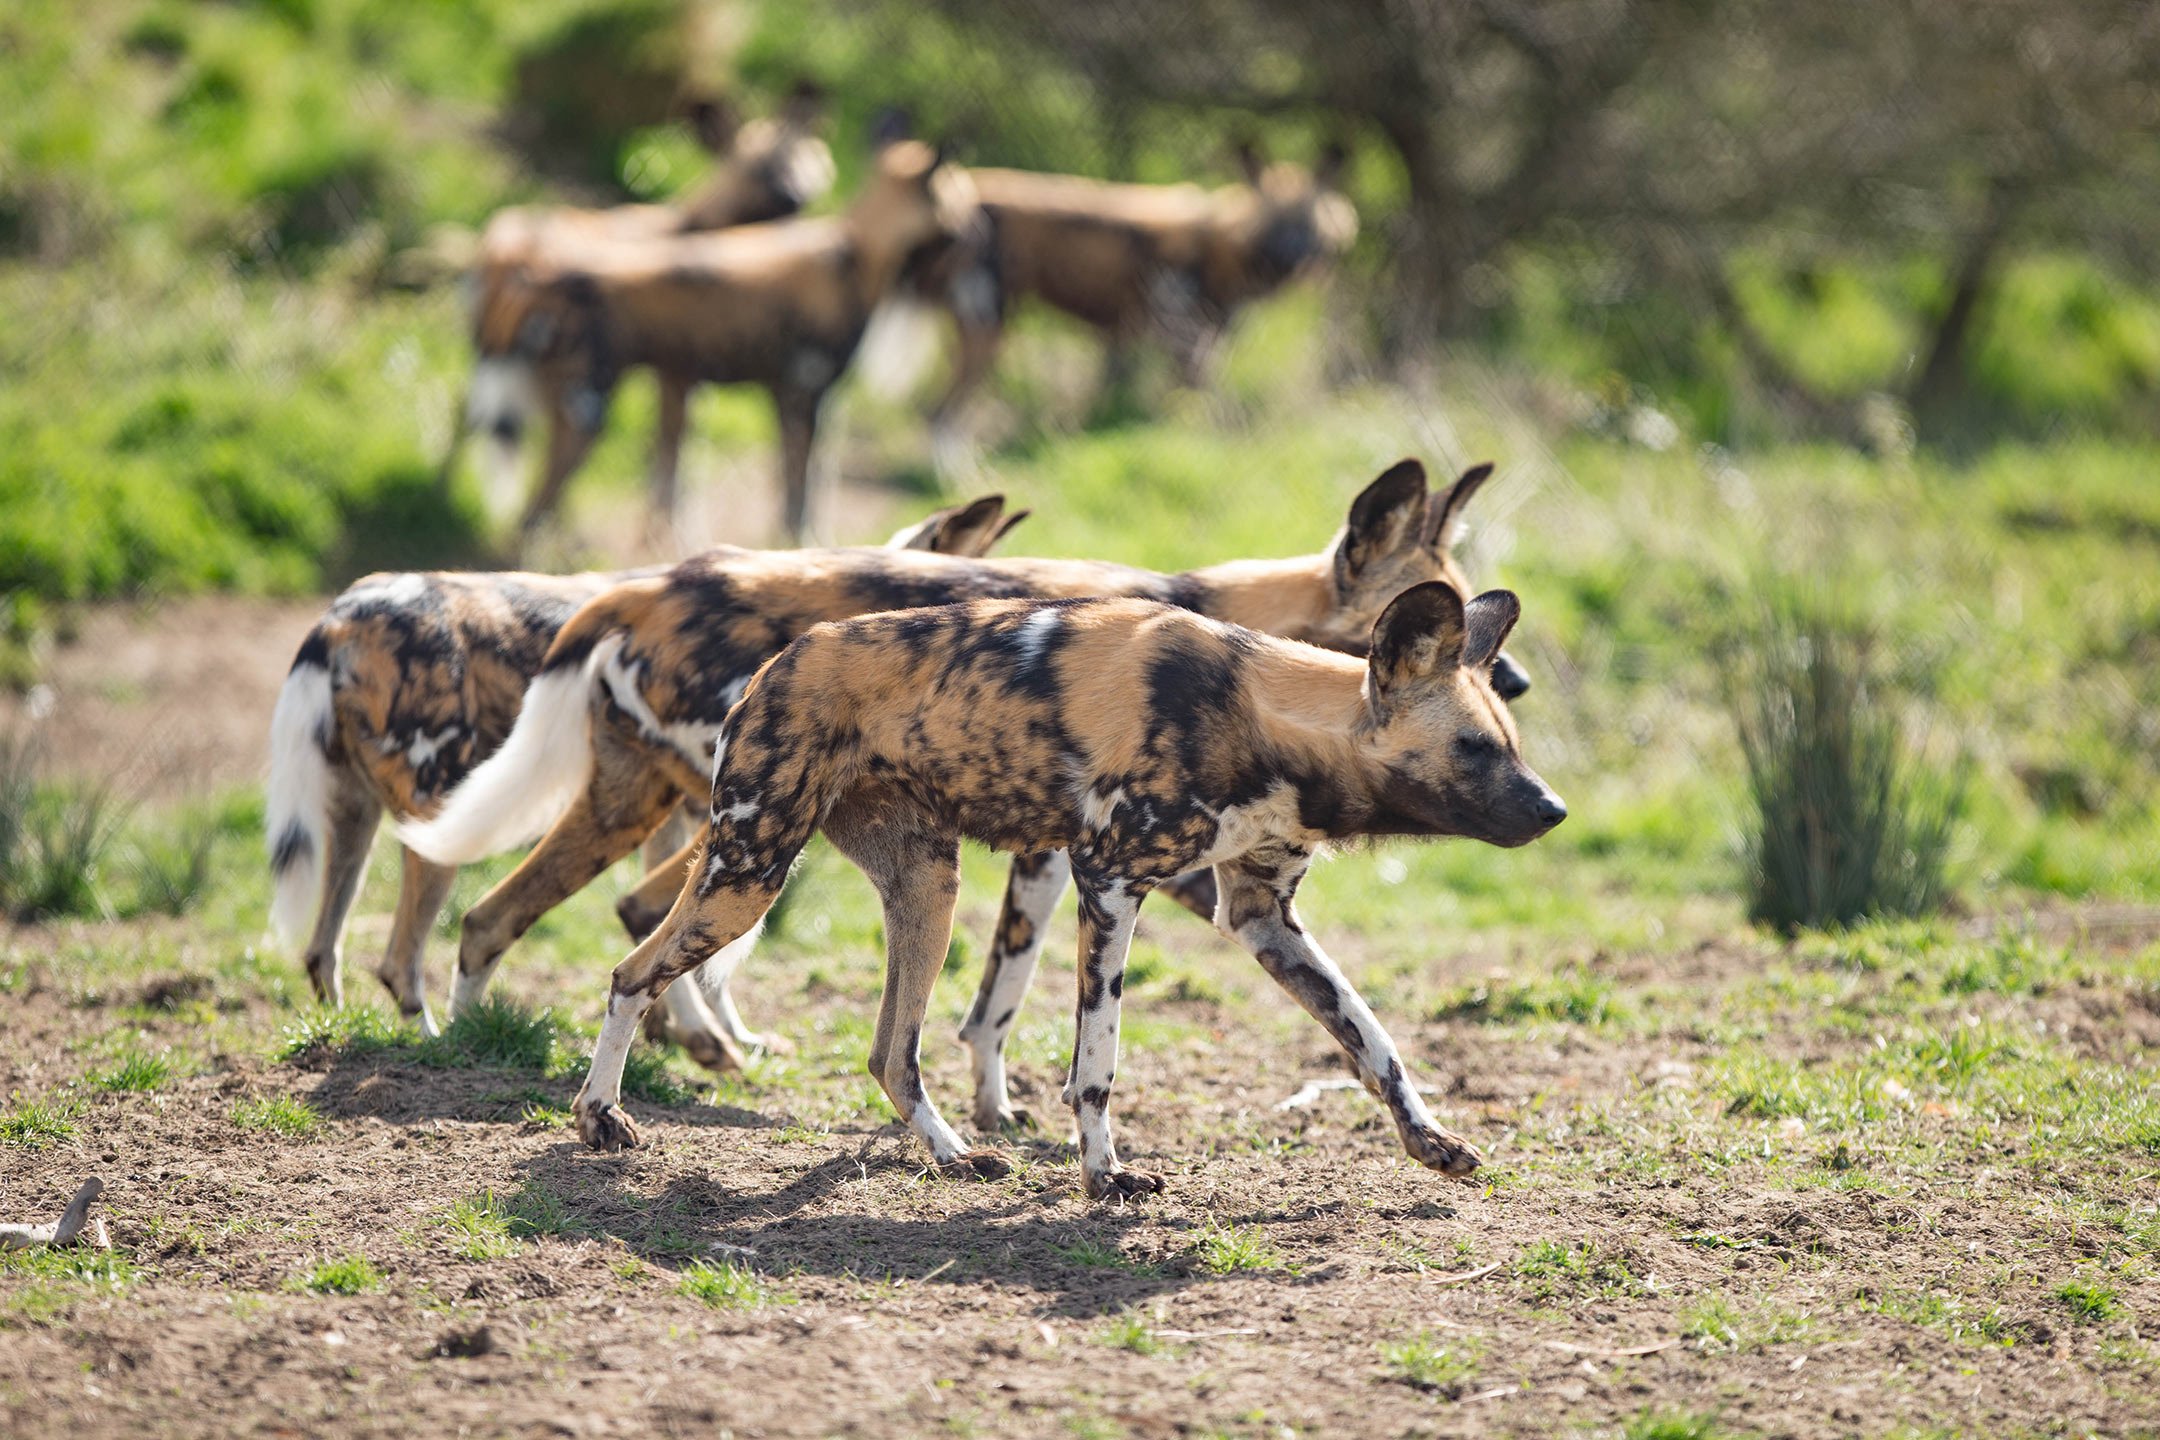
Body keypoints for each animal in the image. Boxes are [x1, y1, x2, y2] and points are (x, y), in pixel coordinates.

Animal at [259, 496, 1019, 1036]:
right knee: (408, 955)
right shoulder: (712, 825)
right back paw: (438, 1040)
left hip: (362, 823)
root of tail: (344, 613)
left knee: (325, 950)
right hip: (447, 820)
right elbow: (679, 948)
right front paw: (702, 1042)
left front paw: (697, 1041)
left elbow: (676, 949)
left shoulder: (691, 822)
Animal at [397, 462, 1529, 1114]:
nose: (1513, 678)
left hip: (663, 810)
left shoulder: (1062, 857)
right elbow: (1009, 1002)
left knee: (540, 914)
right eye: (1444, 608)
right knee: (581, 919)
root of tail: (647, 584)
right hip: (742, 829)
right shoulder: (1070, 857)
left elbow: (998, 998)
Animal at [470, 142, 980, 546]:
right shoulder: (804, 398)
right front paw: (806, 546)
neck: (857, 257)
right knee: (535, 506)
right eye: (962, 203)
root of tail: (538, 279)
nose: (977, 232)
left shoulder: (790, 400)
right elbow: (802, 495)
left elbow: (796, 488)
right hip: (589, 409)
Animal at [565, 578, 1563, 1200]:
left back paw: (957, 1157)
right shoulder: (1111, 880)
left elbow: (1372, 1040)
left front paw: (1429, 1143)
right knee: (629, 972)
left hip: (924, 885)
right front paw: (1105, 1180)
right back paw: (601, 1119)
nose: (1554, 810)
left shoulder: (1263, 919)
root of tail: (779, 660)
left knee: (891, 1050)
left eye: (1511, 742)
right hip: (753, 869)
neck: (1265, 720)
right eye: (1474, 748)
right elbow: (1096, 1068)